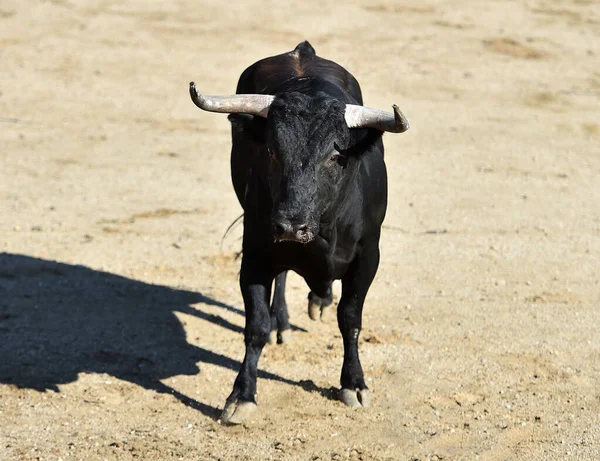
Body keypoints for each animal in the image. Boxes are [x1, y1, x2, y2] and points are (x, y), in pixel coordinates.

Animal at [190, 41, 410, 422]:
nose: (291, 225)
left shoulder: (368, 256)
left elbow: (350, 318)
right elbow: (255, 326)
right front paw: (241, 395)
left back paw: (320, 299)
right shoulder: (255, 253)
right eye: (270, 151)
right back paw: (283, 322)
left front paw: (354, 384)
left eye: (335, 156)